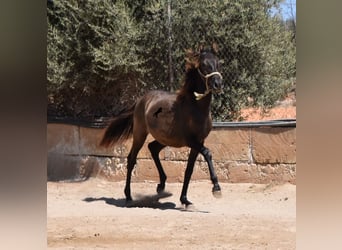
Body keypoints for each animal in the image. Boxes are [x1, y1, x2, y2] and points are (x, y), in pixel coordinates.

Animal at [100, 45, 223, 207]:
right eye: (203, 65)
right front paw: (216, 188)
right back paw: (128, 196)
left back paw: (161, 185)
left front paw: (185, 200)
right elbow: (208, 154)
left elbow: (189, 170)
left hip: (165, 139)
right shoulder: (191, 141)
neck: (195, 108)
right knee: (131, 159)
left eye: (218, 63)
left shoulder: (199, 142)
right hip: (140, 134)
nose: (217, 84)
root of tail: (141, 99)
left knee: (152, 148)